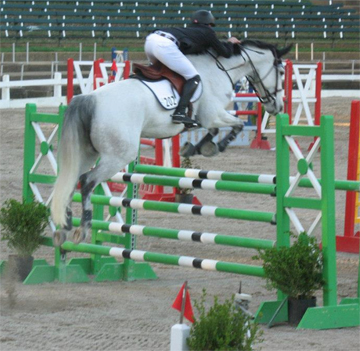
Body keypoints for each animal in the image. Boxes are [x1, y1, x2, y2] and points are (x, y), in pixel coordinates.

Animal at [51, 40, 292, 246]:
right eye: (281, 72)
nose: (277, 107)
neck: (219, 68)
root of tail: (89, 99)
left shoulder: (207, 118)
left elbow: (215, 130)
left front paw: (196, 147)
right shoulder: (212, 114)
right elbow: (236, 125)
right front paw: (215, 147)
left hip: (87, 154)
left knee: (71, 181)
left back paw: (64, 227)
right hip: (118, 156)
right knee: (87, 181)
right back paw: (83, 228)